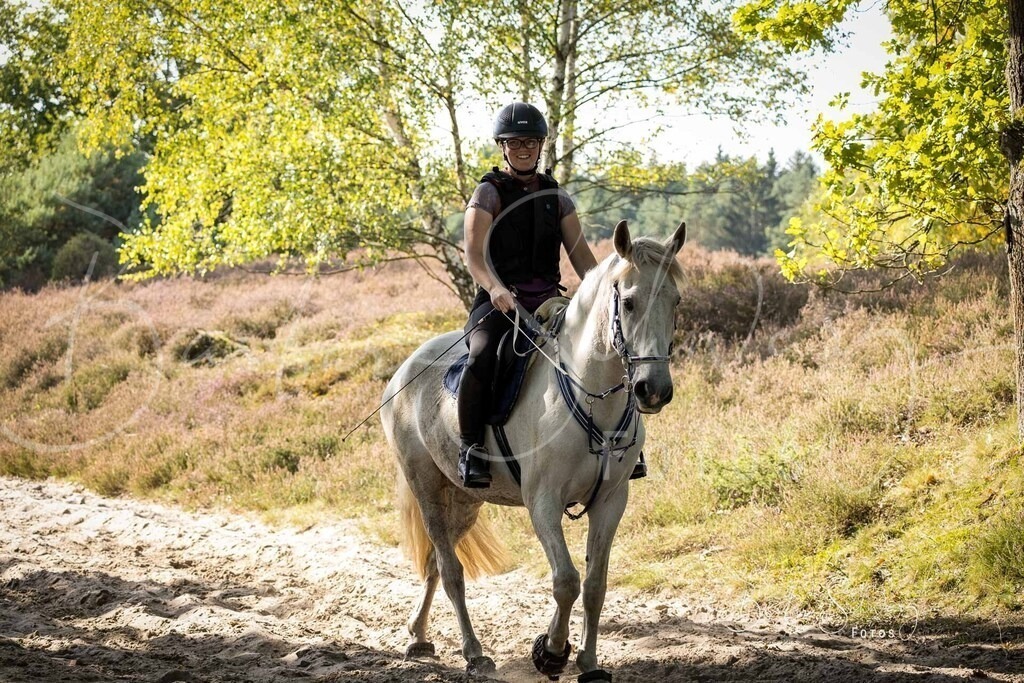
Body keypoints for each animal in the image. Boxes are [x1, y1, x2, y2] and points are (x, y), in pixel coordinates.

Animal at [381, 219, 685, 681]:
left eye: (675, 300)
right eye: (630, 303)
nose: (654, 390)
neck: (590, 395)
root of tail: (404, 371)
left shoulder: (611, 502)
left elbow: (594, 584)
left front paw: (589, 663)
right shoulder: (542, 502)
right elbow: (566, 580)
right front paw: (551, 652)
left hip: (465, 498)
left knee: (436, 560)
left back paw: (418, 635)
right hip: (426, 486)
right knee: (451, 571)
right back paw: (474, 653)